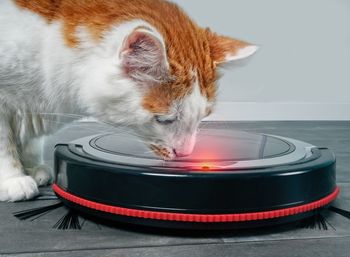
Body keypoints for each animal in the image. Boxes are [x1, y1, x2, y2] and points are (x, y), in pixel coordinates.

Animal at [0, 0, 258, 201]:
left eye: (202, 118)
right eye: (164, 119)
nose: (185, 153)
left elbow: (32, 142)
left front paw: (33, 167)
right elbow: (5, 144)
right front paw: (14, 179)